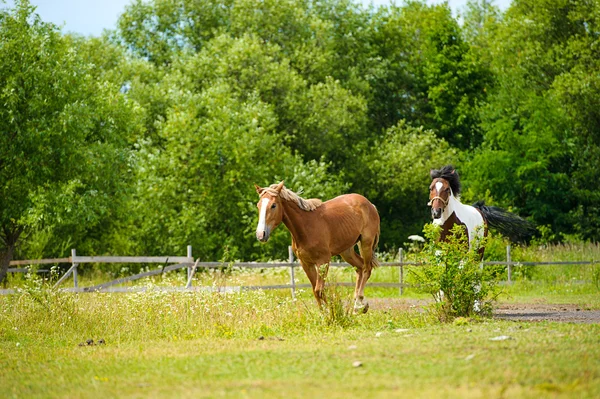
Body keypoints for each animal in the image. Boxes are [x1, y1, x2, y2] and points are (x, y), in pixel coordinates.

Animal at [254, 183, 380, 314]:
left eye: (273, 205)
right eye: (258, 205)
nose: (261, 234)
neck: (305, 227)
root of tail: (370, 204)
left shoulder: (323, 261)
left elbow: (319, 290)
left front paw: (332, 312)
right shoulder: (306, 264)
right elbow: (315, 291)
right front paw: (324, 313)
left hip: (366, 243)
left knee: (366, 269)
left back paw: (358, 303)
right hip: (346, 251)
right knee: (360, 268)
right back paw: (361, 305)